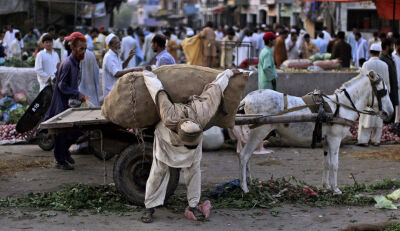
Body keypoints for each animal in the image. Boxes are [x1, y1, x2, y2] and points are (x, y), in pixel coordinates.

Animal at [238, 71, 394, 194]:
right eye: (384, 92)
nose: (391, 114)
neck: (341, 107)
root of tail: (246, 98)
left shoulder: (326, 141)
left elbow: (326, 163)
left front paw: (326, 187)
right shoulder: (335, 140)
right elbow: (335, 164)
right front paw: (336, 189)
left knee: (247, 156)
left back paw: (249, 182)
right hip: (259, 131)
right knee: (244, 156)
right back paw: (244, 188)